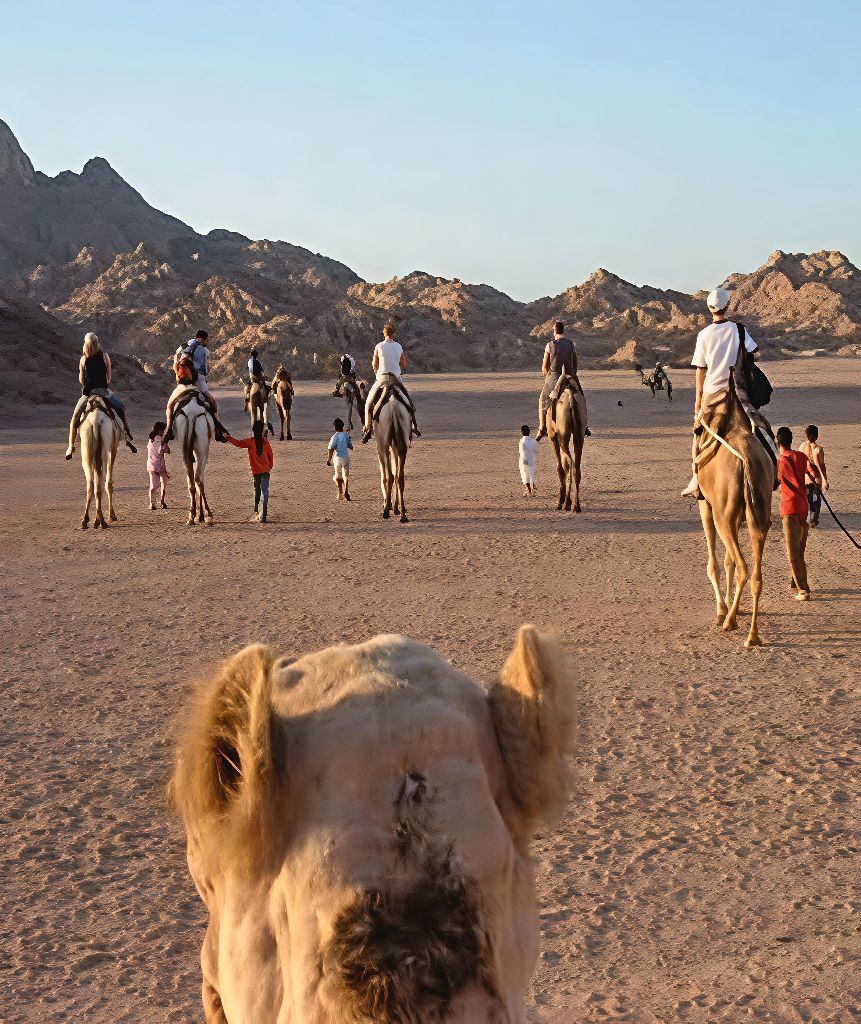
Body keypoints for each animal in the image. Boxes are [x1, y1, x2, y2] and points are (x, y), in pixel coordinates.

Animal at [78, 396, 122, 529]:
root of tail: (96, 422)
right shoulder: (113, 449)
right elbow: (109, 483)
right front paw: (112, 515)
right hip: (104, 449)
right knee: (100, 482)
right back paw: (101, 521)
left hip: (86, 449)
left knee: (91, 483)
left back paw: (86, 520)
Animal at [173, 393, 214, 526]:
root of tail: (191, 415)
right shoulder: (204, 450)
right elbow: (200, 477)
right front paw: (202, 516)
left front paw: (198, 515)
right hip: (202, 447)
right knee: (197, 477)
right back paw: (208, 514)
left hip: (185, 446)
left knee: (191, 478)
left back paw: (191, 515)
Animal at [374, 392, 410, 522]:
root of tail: (394, 408)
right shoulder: (395, 446)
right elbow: (396, 472)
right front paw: (395, 507)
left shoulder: (380, 447)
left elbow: (384, 475)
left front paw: (387, 504)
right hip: (402, 443)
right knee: (399, 476)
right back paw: (403, 515)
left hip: (384, 444)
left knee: (389, 475)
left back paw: (385, 512)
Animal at [545, 379, 585, 512]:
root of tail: (570, 398)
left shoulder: (553, 437)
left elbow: (560, 467)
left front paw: (560, 501)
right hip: (579, 434)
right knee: (576, 467)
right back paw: (576, 505)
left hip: (562, 436)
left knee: (569, 463)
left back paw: (567, 503)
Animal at [695, 382, 774, 648]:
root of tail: (746, 457)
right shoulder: (737, 516)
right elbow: (727, 561)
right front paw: (733, 607)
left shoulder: (706, 506)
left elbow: (715, 563)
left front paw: (722, 609)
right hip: (757, 512)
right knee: (756, 573)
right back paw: (753, 635)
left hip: (723, 515)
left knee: (742, 566)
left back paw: (730, 621)